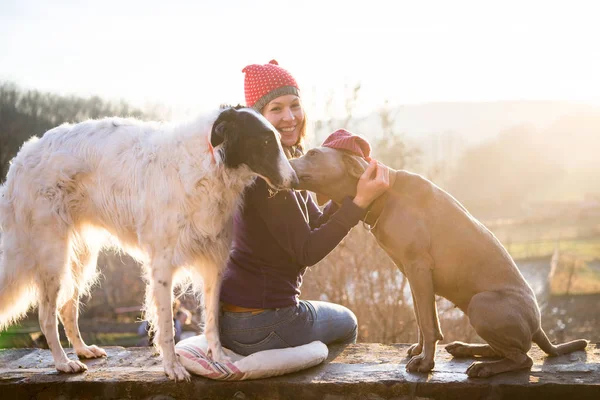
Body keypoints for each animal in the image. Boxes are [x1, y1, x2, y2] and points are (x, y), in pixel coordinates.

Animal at [0, 106, 298, 382]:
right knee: (46, 315)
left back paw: (83, 350)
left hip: (81, 256)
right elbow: (166, 327)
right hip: (53, 256)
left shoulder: (213, 263)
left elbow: (212, 320)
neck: (208, 163)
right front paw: (173, 368)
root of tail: (20, 160)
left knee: (67, 308)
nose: (295, 181)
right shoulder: (162, 266)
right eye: (266, 142)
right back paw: (63, 362)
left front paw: (221, 360)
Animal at [290, 148, 584, 376]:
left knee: (524, 358)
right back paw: (466, 349)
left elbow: (429, 325)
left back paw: (485, 368)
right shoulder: (411, 274)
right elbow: (423, 320)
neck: (386, 195)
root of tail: (539, 326)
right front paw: (420, 352)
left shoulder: (418, 268)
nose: (284, 163)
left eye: (313, 153)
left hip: (481, 304)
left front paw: (425, 363)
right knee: (509, 350)